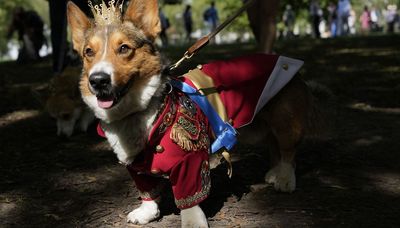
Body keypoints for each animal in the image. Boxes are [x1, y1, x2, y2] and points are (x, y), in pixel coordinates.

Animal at [66, 0, 318, 227]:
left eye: (124, 48)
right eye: (88, 52)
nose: (97, 80)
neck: (137, 112)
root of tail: (289, 63)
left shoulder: (191, 162)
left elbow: (189, 199)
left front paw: (192, 222)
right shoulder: (136, 166)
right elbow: (147, 192)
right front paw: (146, 213)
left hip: (285, 122)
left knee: (288, 151)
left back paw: (284, 179)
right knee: (275, 147)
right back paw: (274, 173)